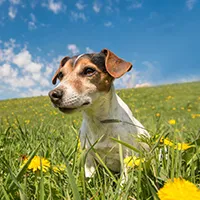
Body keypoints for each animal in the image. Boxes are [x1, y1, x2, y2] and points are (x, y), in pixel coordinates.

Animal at [48, 49, 148, 177]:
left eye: (89, 70)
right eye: (61, 74)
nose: (53, 95)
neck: (97, 120)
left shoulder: (128, 155)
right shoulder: (88, 157)